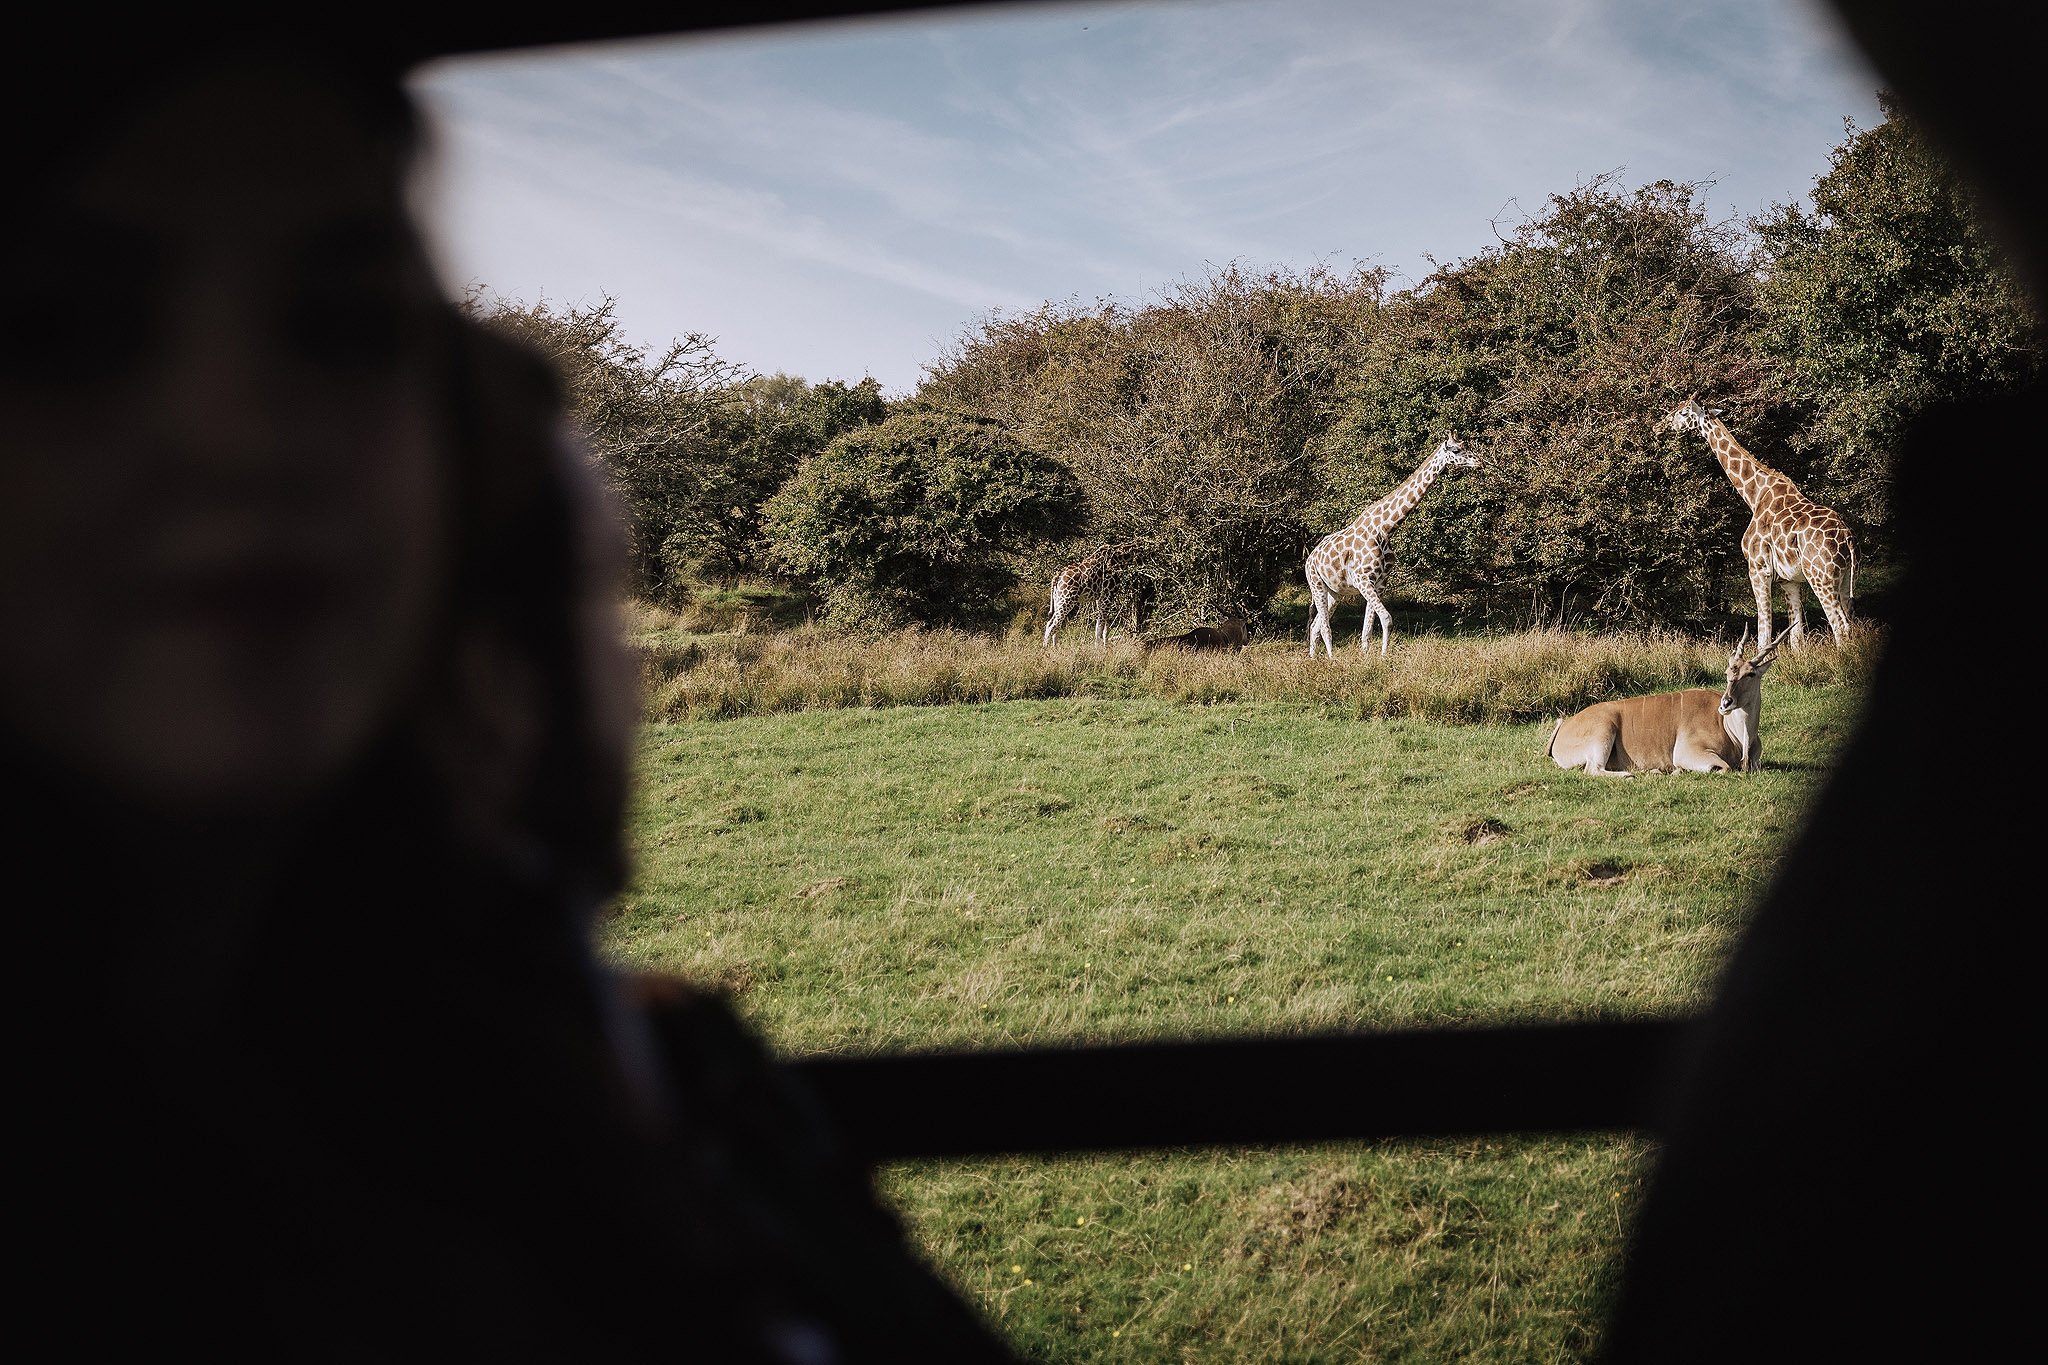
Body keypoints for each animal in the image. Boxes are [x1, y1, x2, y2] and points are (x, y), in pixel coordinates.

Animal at [1302, 431, 1482, 654]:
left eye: (1467, 446)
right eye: (1456, 450)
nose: (1480, 462)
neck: (1385, 528)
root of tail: (1310, 558)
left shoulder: (1379, 583)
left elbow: (1368, 629)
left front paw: (1367, 656)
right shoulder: (1363, 579)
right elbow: (1386, 619)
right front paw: (1382, 656)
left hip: (1334, 592)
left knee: (1316, 625)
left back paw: (1314, 658)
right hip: (1316, 583)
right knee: (1324, 627)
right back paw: (1331, 659)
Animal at [1540, 634, 1785, 773]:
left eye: (1750, 674)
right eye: (1727, 674)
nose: (1726, 703)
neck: (1733, 732)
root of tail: (1564, 725)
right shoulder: (1687, 753)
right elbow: (1723, 767)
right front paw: (1672, 771)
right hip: (1603, 730)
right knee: (1593, 770)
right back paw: (1637, 774)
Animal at [1662, 397, 1859, 650]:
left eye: (1684, 412)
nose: (1662, 424)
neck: (1755, 496)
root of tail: (1848, 538)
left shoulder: (1757, 569)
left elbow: (1764, 632)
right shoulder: (1789, 581)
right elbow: (1796, 637)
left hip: (1821, 577)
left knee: (1840, 626)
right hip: (1845, 579)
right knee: (1851, 623)